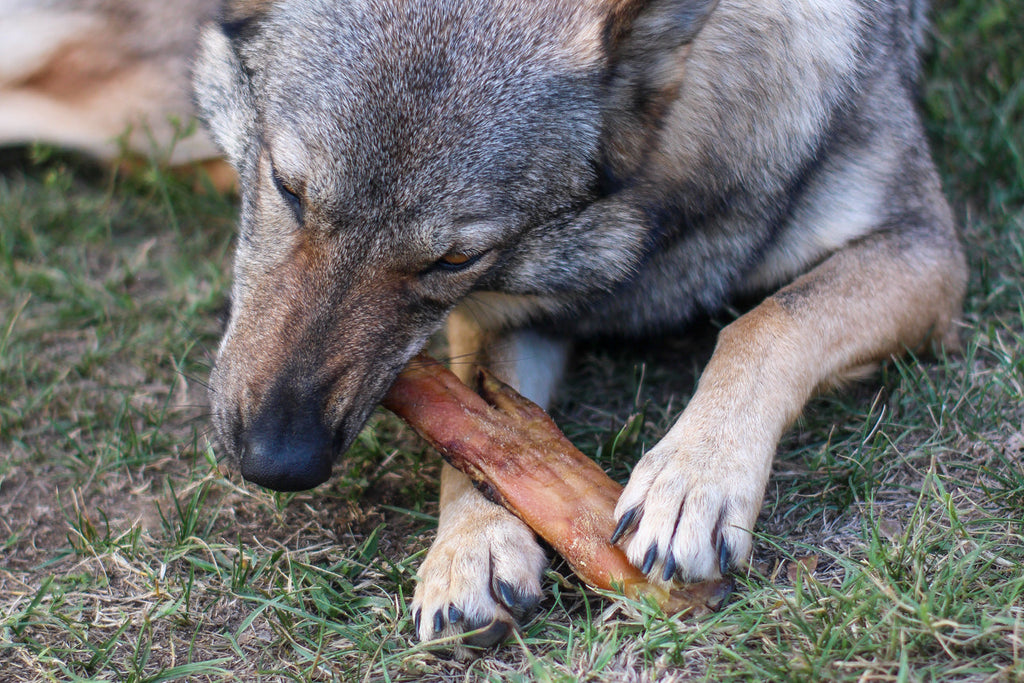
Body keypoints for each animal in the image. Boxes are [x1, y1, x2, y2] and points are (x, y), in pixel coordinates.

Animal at [193, 0, 966, 651]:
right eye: (288, 188)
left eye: (455, 258)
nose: (277, 462)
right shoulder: (505, 313)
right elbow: (475, 419)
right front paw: (470, 547)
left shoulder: (927, 248)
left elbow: (764, 325)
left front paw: (694, 478)